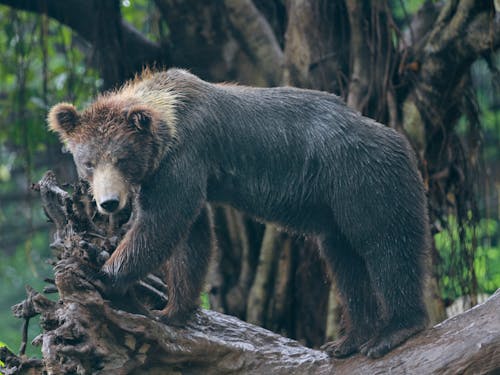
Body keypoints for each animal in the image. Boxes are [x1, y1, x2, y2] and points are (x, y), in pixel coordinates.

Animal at [47, 69, 430, 360]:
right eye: (88, 162)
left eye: (122, 159)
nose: (109, 203)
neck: (167, 119)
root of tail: (401, 141)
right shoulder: (175, 173)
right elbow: (193, 237)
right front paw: (172, 311)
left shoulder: (184, 158)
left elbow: (162, 224)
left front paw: (100, 271)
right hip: (334, 209)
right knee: (344, 263)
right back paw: (347, 340)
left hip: (362, 179)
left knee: (386, 244)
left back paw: (394, 330)